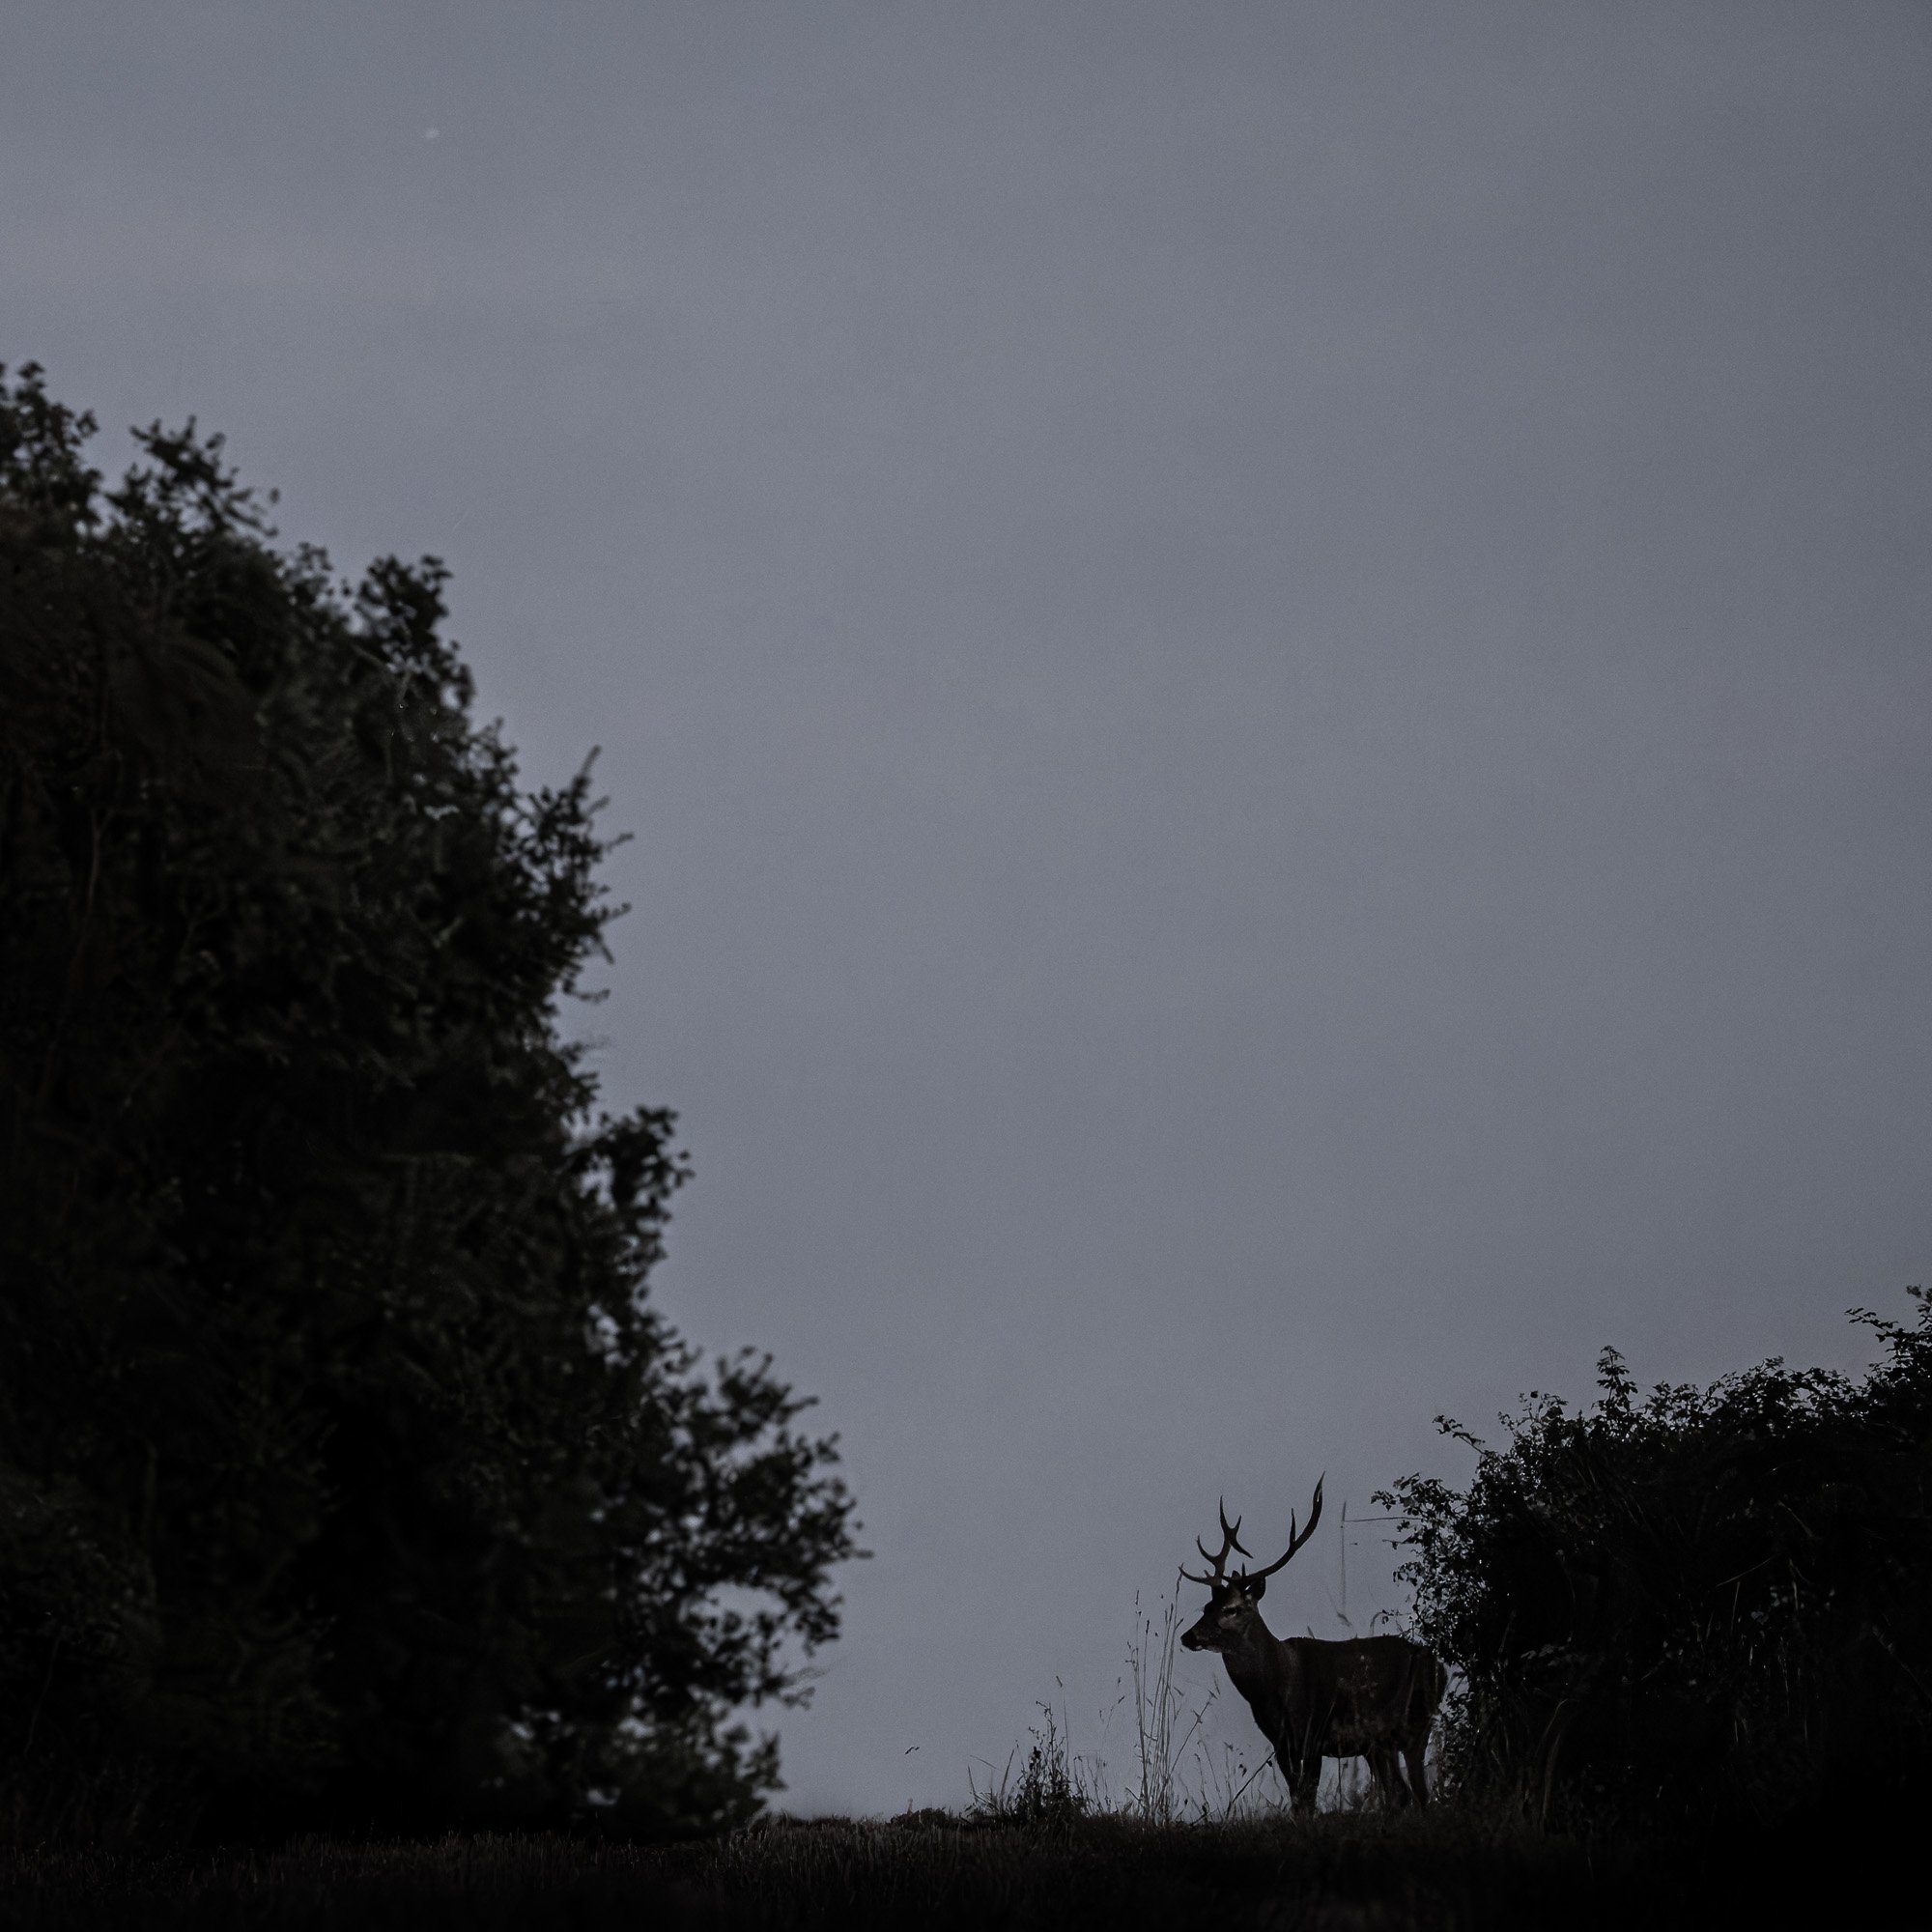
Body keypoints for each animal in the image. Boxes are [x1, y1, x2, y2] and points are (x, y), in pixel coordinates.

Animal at [1179, 1478, 1446, 1813]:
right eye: (1206, 1607)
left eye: (1232, 1609)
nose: (1188, 1637)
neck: (1277, 1687)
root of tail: (1438, 1666)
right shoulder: (1282, 1744)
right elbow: (1297, 1802)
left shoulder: (1316, 1733)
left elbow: (1307, 1800)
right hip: (1381, 1742)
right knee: (1402, 1793)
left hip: (1411, 1725)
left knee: (1415, 1792)